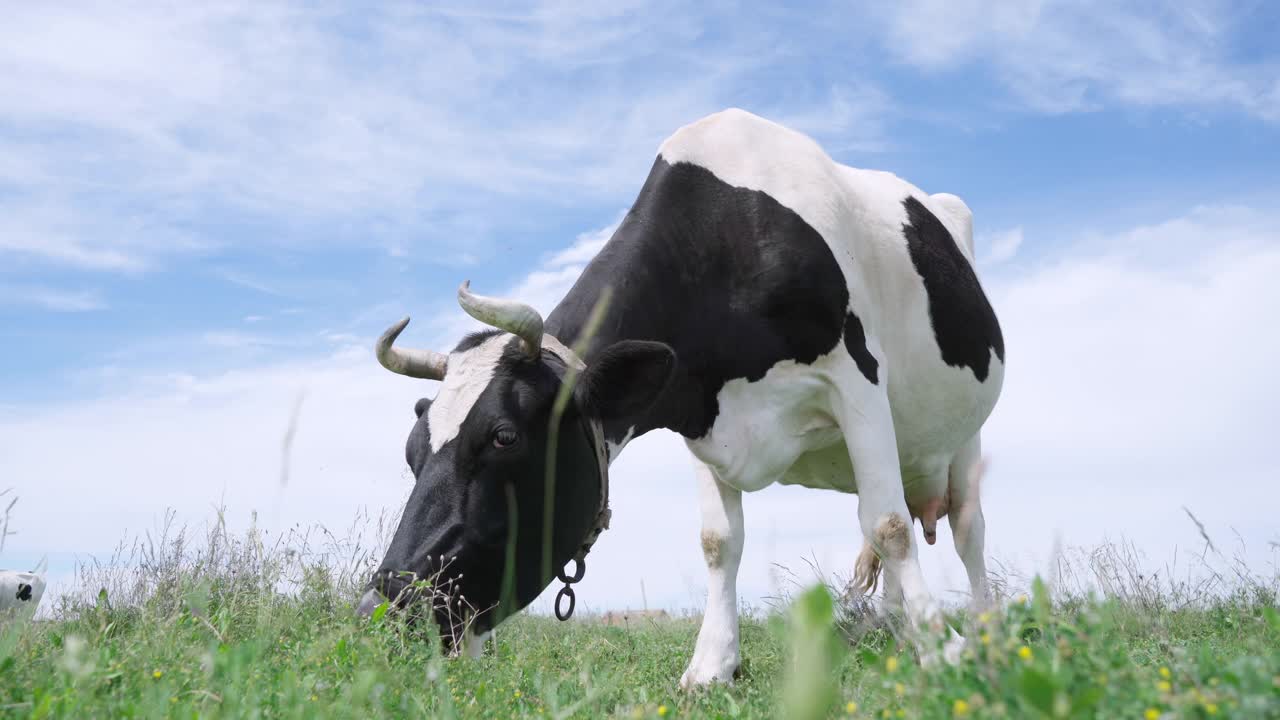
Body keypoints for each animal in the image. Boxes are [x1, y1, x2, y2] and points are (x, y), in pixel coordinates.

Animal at [355, 106, 1003, 681]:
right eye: (411, 451)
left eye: (503, 436)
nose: (383, 606)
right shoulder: (699, 415)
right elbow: (719, 542)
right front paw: (712, 665)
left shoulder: (857, 379)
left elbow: (888, 525)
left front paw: (943, 650)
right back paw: (896, 633)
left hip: (966, 433)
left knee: (966, 527)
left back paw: (976, 632)